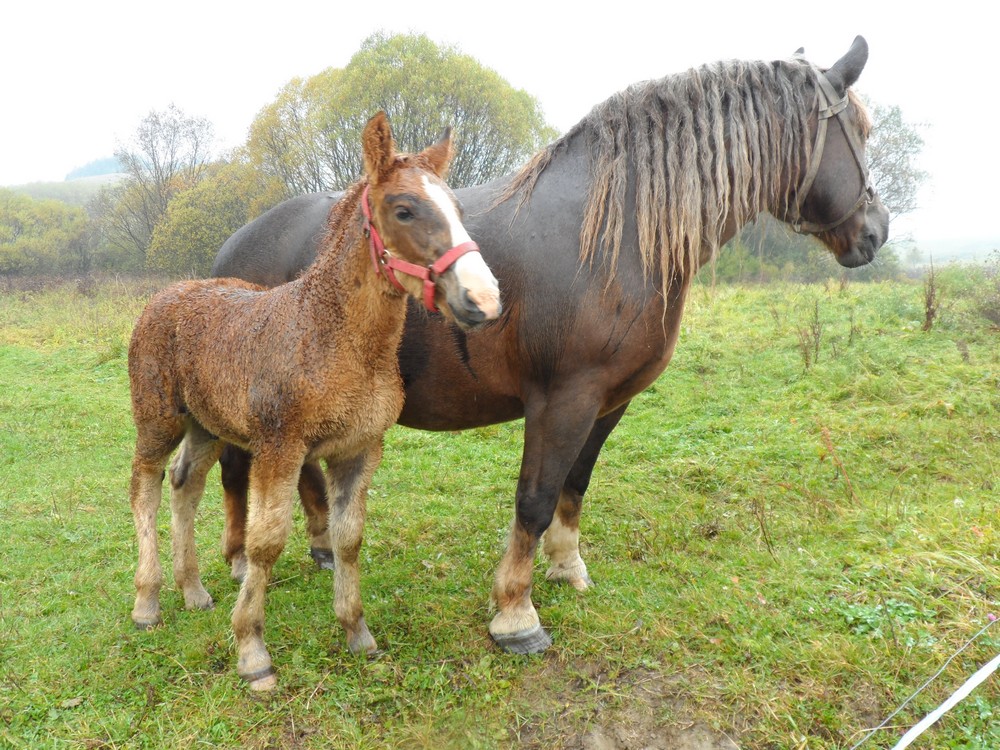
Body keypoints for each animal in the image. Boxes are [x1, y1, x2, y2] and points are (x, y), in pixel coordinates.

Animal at [127, 111, 502, 690]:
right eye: (404, 210)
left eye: (459, 211)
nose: (483, 300)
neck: (335, 339)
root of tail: (167, 294)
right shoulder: (280, 449)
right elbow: (265, 543)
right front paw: (252, 652)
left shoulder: (359, 449)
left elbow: (348, 538)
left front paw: (356, 632)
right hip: (158, 418)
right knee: (143, 485)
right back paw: (148, 601)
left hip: (206, 425)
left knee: (185, 484)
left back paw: (193, 591)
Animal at [207, 37, 889, 654]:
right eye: (860, 129)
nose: (877, 232)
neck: (612, 236)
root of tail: (230, 246)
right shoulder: (563, 399)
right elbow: (534, 500)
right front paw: (516, 613)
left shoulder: (609, 401)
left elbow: (574, 484)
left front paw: (566, 567)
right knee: (236, 470)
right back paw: (240, 563)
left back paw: (323, 548)